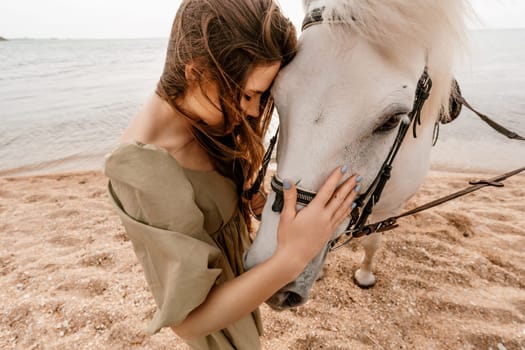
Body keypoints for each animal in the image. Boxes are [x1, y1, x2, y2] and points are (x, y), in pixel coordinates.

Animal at [243, 0, 466, 312]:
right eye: (275, 96)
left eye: (392, 120)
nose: (273, 274)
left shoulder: (389, 205)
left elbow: (372, 241)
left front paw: (365, 275)